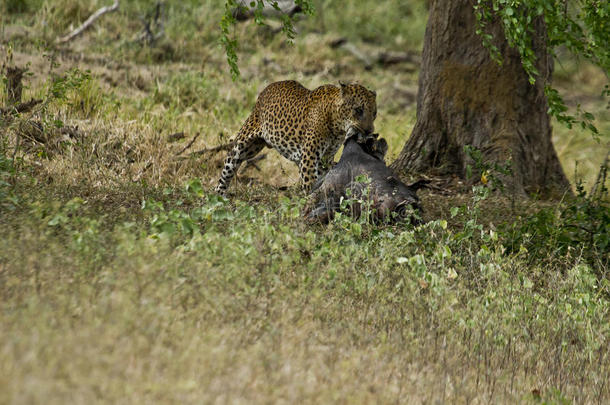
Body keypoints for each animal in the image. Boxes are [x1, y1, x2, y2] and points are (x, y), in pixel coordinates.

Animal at [214, 79, 376, 196]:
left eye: (374, 113)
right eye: (358, 110)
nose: (370, 131)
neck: (337, 127)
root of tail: (268, 87)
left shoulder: (325, 158)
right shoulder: (310, 157)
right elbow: (310, 183)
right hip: (242, 145)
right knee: (228, 167)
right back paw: (218, 195)